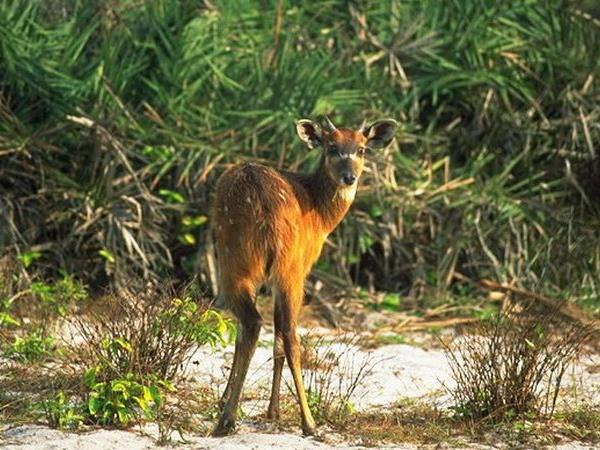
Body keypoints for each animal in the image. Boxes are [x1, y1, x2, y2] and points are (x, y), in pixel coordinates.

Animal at [211, 116, 398, 436]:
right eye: (331, 147)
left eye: (361, 149)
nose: (349, 177)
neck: (320, 215)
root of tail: (267, 215)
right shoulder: (299, 267)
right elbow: (278, 338)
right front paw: (272, 411)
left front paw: (266, 409)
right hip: (272, 265)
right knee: (283, 332)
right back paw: (302, 422)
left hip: (245, 265)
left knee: (253, 324)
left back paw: (231, 415)